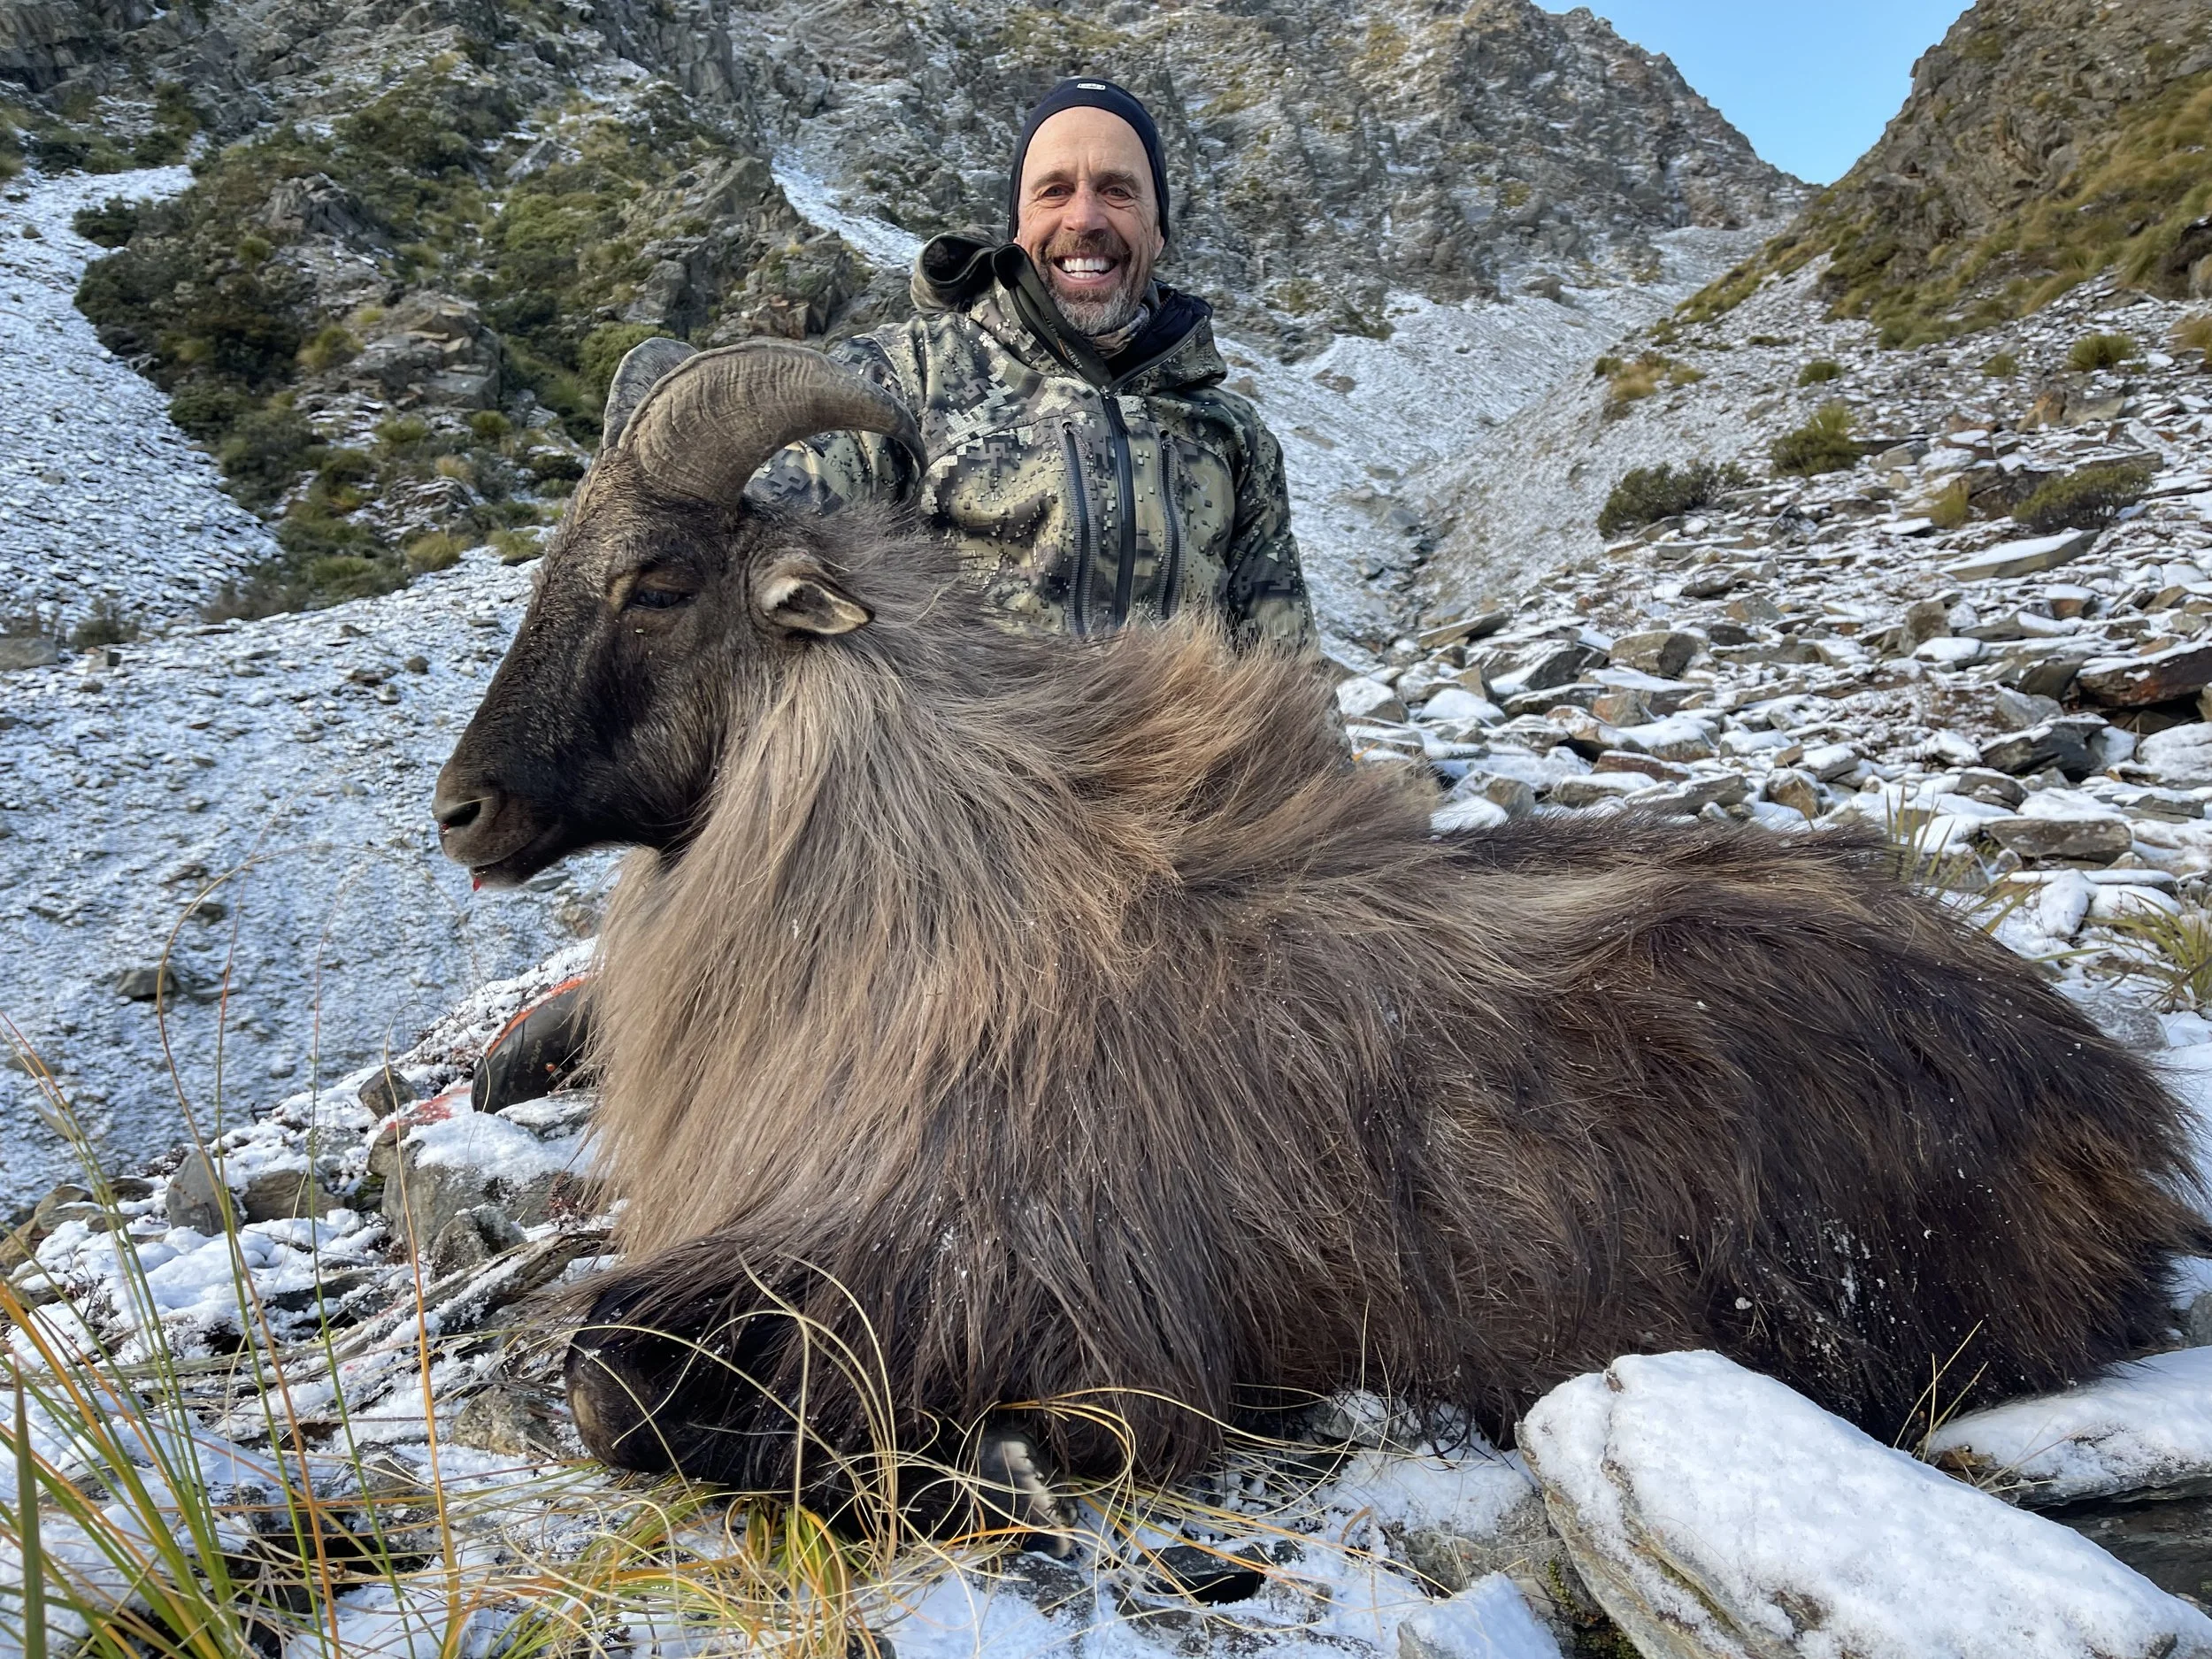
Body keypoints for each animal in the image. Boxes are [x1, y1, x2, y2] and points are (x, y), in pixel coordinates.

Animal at [434, 338, 2209, 1522]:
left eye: (655, 581)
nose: (463, 809)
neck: (936, 896)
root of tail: (2119, 1103)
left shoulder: (960, 1263)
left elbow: (616, 1383)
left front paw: (1012, 1449)